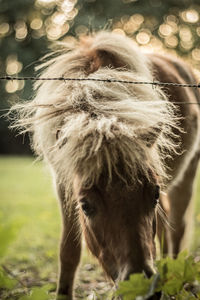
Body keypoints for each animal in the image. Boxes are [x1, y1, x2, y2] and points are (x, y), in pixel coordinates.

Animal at [10, 31, 200, 298]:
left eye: (152, 195)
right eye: (86, 206)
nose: (141, 286)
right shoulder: (64, 186)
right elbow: (69, 251)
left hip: (187, 176)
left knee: (177, 229)